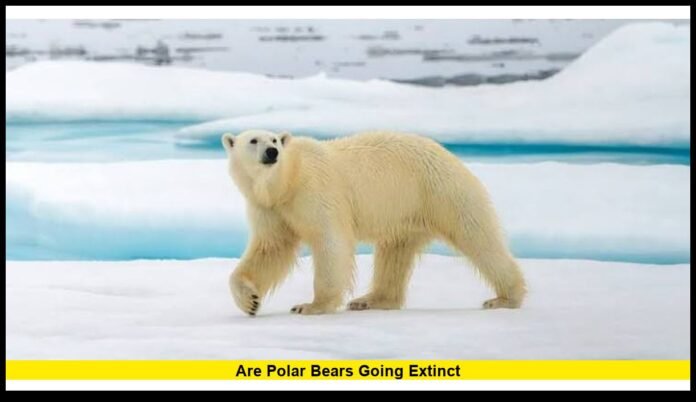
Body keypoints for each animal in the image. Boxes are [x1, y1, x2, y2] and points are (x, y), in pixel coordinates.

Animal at [222, 129, 526, 316]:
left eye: (274, 139)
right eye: (253, 140)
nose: (272, 152)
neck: (286, 181)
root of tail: (449, 154)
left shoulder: (316, 191)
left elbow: (331, 242)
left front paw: (311, 305)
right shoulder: (270, 208)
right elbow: (271, 249)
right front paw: (250, 301)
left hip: (441, 190)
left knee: (477, 237)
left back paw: (505, 297)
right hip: (406, 212)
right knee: (394, 253)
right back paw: (370, 299)